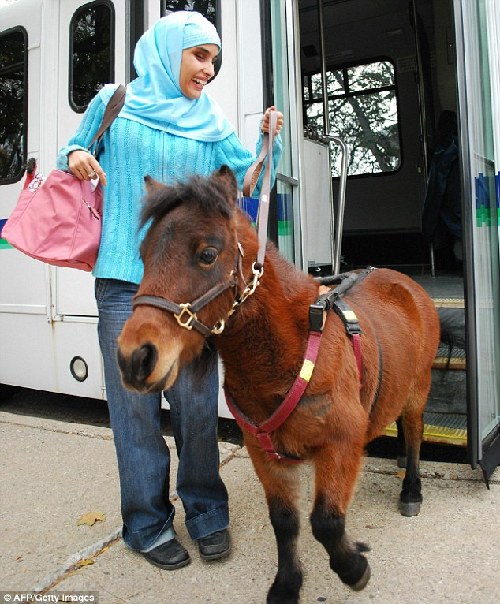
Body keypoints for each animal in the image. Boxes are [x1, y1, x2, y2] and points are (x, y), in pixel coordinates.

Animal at [119, 166, 440, 604]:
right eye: (143, 255)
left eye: (207, 253)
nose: (134, 358)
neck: (287, 355)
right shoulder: (265, 453)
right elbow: (285, 522)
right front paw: (288, 585)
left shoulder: (340, 441)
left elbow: (326, 522)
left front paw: (354, 567)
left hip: (417, 390)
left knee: (414, 433)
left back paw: (411, 491)